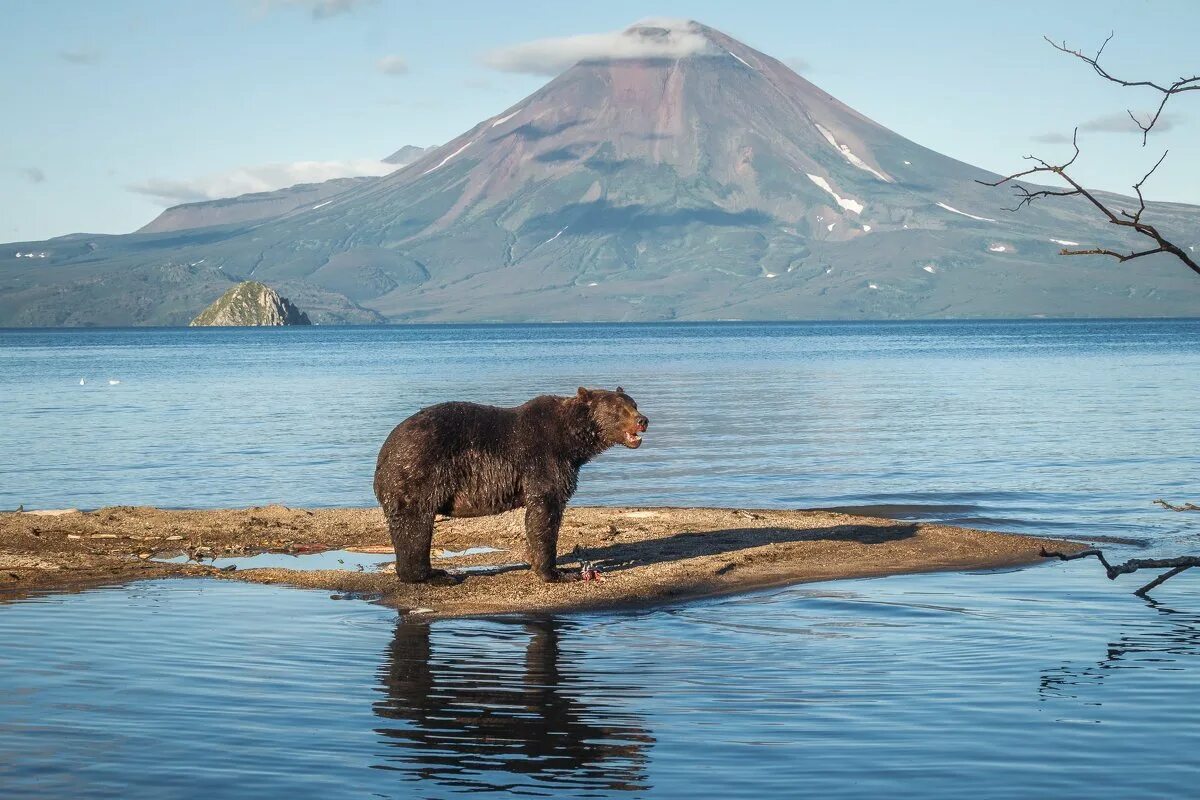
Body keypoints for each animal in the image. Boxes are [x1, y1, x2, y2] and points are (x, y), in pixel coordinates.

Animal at [372, 383, 648, 585]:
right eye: (618, 410)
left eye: (634, 404)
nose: (643, 420)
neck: (572, 441)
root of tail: (384, 452)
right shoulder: (543, 460)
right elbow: (544, 512)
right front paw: (556, 572)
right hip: (419, 473)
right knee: (415, 525)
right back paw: (434, 575)